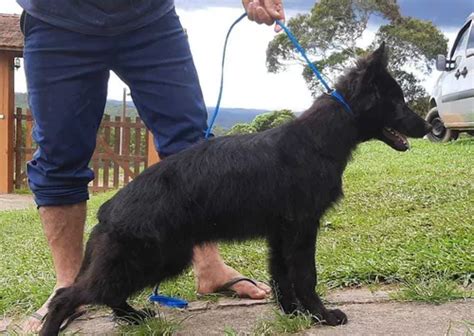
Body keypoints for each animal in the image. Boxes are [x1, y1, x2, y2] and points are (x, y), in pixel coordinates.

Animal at [39, 43, 432, 334]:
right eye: (397, 102)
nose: (429, 127)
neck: (320, 139)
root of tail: (107, 212)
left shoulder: (281, 233)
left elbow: (281, 276)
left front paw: (292, 314)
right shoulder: (303, 228)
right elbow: (305, 275)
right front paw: (321, 315)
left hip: (162, 259)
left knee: (105, 295)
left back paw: (133, 316)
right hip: (149, 260)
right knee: (70, 297)